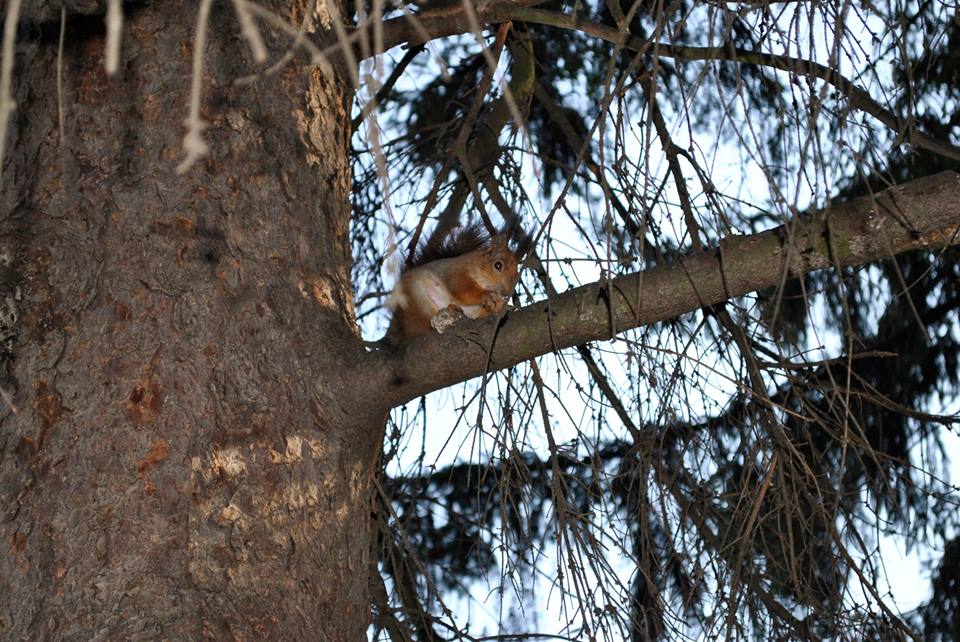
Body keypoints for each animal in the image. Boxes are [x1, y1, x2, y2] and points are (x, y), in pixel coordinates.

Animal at [386, 222, 528, 342]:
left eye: (517, 272)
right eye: (498, 265)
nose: (507, 292)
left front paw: (501, 306)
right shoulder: (455, 273)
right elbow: (463, 290)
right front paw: (486, 296)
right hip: (417, 298)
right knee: (420, 326)